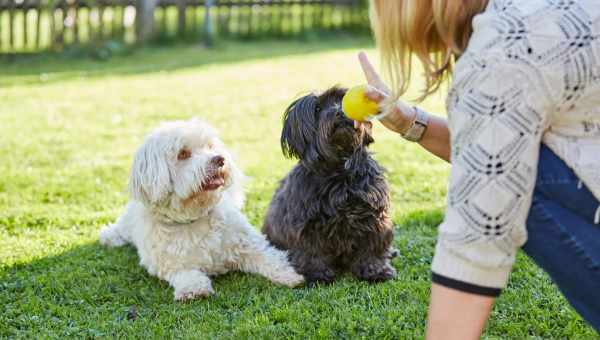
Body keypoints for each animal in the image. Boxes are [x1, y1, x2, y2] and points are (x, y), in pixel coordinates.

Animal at [100, 119, 304, 300]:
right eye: (183, 154)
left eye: (210, 146)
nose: (219, 159)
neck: (194, 216)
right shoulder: (167, 263)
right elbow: (184, 273)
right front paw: (194, 289)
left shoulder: (248, 243)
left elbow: (269, 257)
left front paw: (289, 275)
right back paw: (109, 236)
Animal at [264, 86, 398, 286]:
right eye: (318, 109)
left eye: (341, 99)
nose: (341, 112)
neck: (339, 171)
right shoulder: (307, 225)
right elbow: (312, 252)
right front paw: (317, 274)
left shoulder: (374, 217)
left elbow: (372, 247)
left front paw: (375, 270)